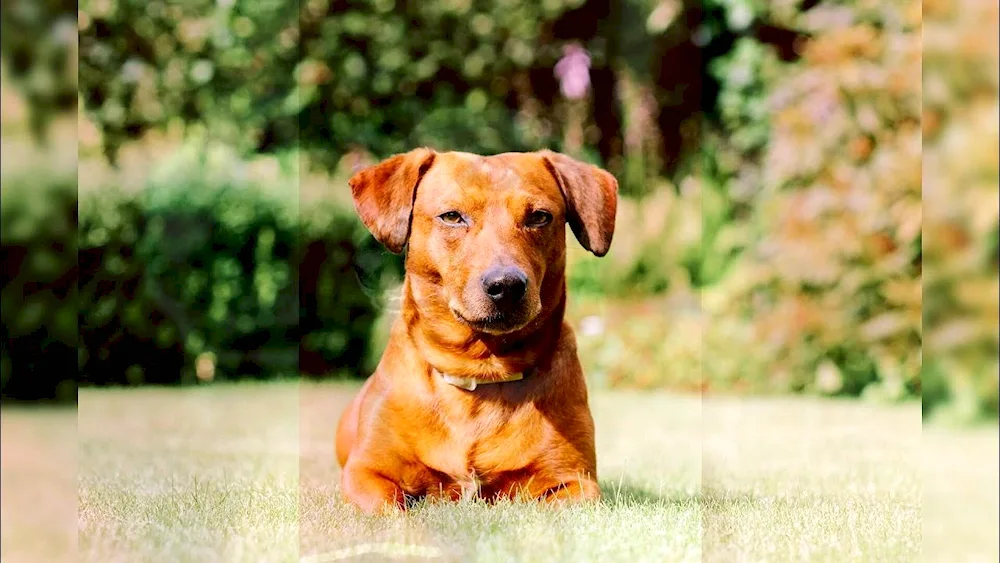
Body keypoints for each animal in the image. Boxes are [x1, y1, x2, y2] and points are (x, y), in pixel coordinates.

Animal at [336, 148, 616, 512]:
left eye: (540, 217)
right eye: (452, 217)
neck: (480, 371)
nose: (506, 285)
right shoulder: (364, 473)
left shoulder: (576, 482)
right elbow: (392, 508)